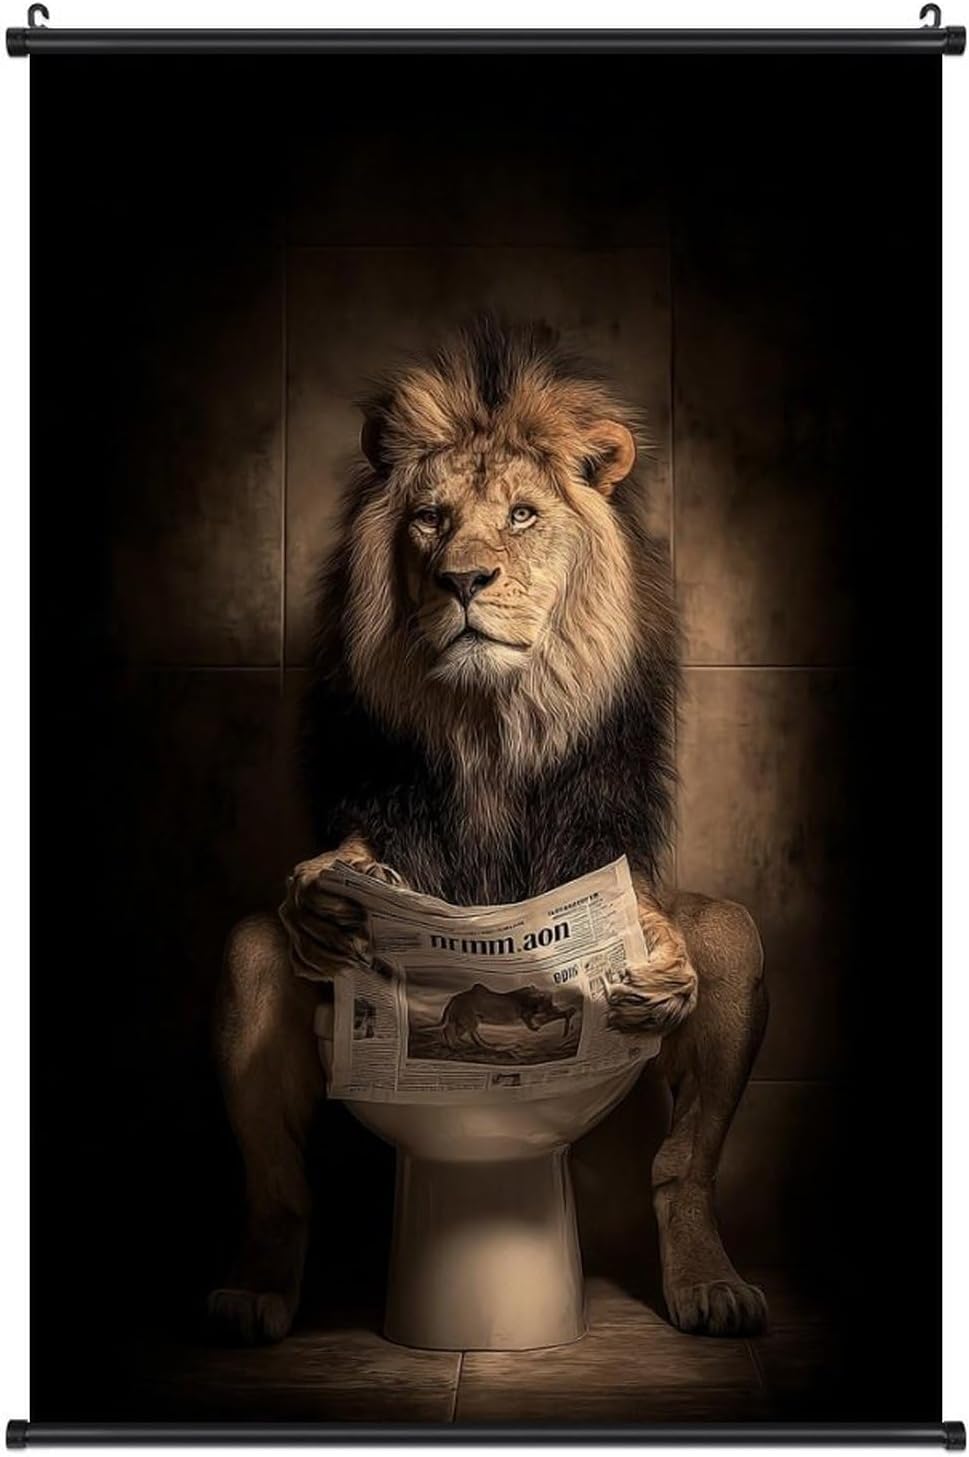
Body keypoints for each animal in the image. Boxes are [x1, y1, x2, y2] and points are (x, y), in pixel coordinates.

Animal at [208, 317, 768, 1346]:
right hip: (272, 998)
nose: (461, 578)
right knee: (275, 1148)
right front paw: (320, 895)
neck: (490, 719)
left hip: (732, 955)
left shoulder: (601, 818)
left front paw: (660, 960)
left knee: (683, 1149)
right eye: (430, 518)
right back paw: (253, 1291)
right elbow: (341, 869)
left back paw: (709, 1286)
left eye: (519, 515)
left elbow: (643, 903)